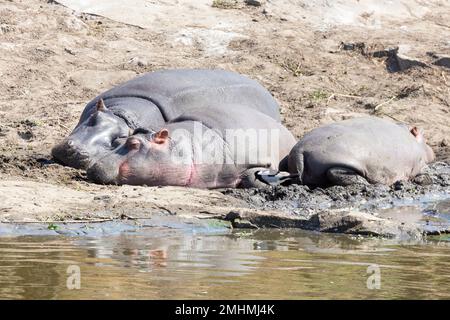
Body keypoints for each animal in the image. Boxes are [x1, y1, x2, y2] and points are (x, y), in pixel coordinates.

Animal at [286, 117, 434, 188]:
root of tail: (300, 149)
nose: (433, 151)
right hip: (337, 160)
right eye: (424, 135)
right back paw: (366, 183)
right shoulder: (420, 164)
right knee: (335, 172)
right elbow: (424, 173)